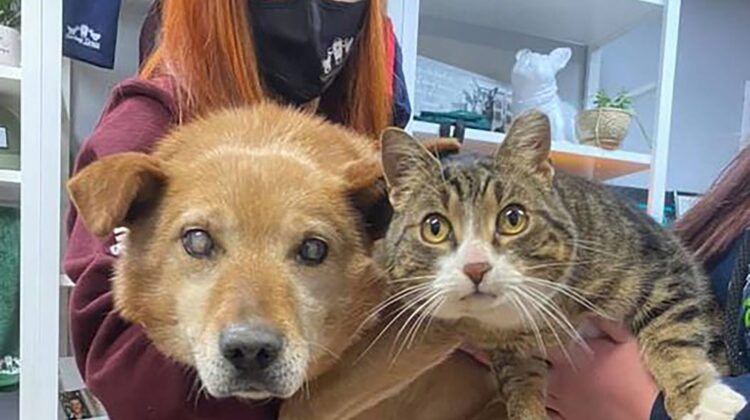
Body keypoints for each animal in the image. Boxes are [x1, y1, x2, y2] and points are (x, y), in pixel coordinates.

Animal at [378, 110, 747, 420]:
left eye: (513, 218)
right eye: (434, 227)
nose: (476, 268)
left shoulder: (665, 270)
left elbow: (671, 336)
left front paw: (699, 400)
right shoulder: (510, 350)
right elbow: (520, 382)